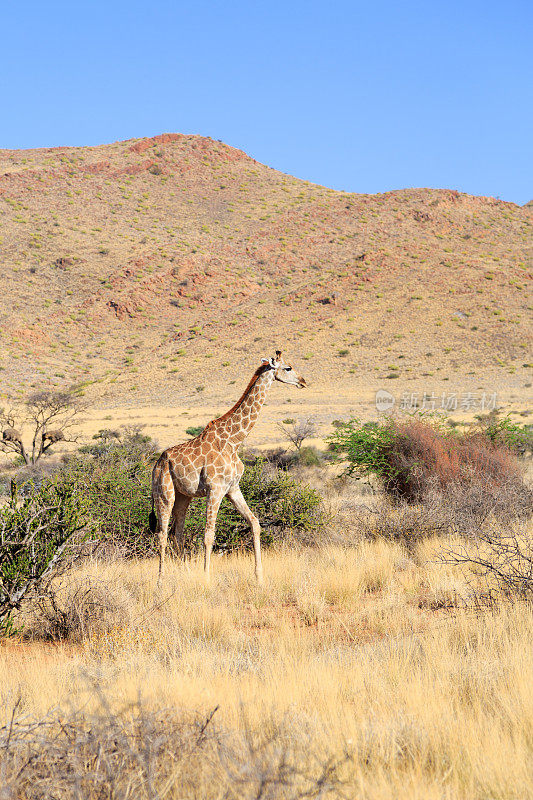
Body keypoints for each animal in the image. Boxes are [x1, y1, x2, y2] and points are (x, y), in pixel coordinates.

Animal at [151, 350, 308, 580]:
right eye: (288, 368)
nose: (303, 381)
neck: (234, 441)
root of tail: (157, 464)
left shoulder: (233, 488)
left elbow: (255, 523)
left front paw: (259, 576)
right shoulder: (215, 489)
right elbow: (208, 535)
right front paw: (206, 578)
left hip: (183, 496)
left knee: (176, 533)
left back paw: (183, 573)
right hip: (164, 493)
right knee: (162, 534)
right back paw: (160, 580)